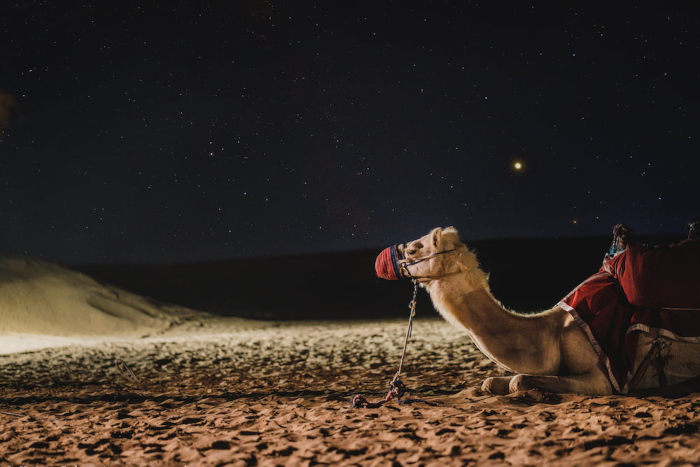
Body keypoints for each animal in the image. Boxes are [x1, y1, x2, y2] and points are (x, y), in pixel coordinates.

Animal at [375, 227, 700, 396]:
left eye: (415, 249)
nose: (382, 260)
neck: (550, 331)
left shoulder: (605, 377)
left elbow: (518, 380)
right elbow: (491, 382)